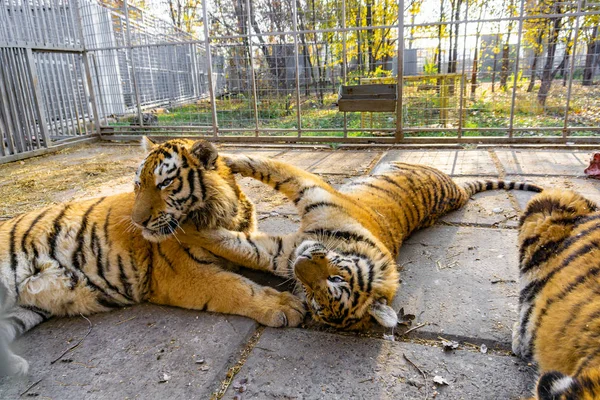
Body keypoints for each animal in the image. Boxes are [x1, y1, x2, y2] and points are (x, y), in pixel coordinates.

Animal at [0, 137, 304, 376]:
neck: (225, 214)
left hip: (23, 310)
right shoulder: (180, 274)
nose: (137, 222)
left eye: (165, 183)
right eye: (137, 184)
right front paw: (283, 305)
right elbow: (235, 286)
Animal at [178, 156, 544, 332]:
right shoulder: (304, 202)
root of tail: (458, 190)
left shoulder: (281, 247)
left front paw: (186, 228)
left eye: (317, 295)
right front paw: (226, 160)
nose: (300, 267)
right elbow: (264, 166)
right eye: (335, 277)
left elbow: (233, 241)